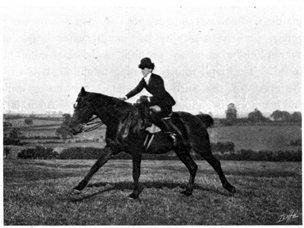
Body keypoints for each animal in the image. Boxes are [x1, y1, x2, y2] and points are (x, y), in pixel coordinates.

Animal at [68, 86, 235, 199]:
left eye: (82, 105)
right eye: (75, 105)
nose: (72, 128)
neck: (121, 120)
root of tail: (198, 118)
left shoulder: (136, 150)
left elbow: (136, 172)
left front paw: (134, 194)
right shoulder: (111, 148)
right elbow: (95, 166)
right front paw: (78, 188)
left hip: (201, 147)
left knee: (215, 163)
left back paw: (229, 188)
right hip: (181, 150)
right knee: (193, 166)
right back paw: (188, 191)